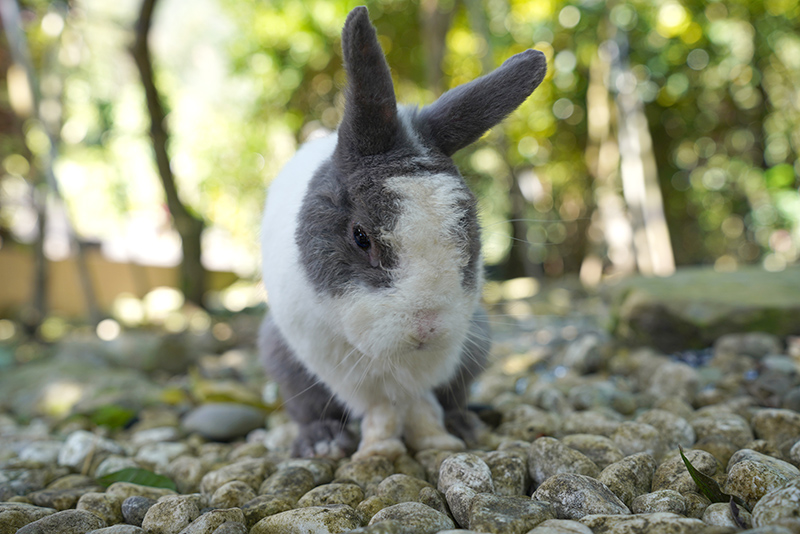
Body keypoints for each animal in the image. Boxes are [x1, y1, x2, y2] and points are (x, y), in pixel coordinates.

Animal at [260, 5, 548, 460]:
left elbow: (420, 403)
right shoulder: (331, 359)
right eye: (361, 237)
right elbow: (378, 408)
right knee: (308, 407)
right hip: (279, 352)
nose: (426, 328)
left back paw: (466, 425)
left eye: (469, 229)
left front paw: (438, 442)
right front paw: (379, 452)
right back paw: (322, 442)